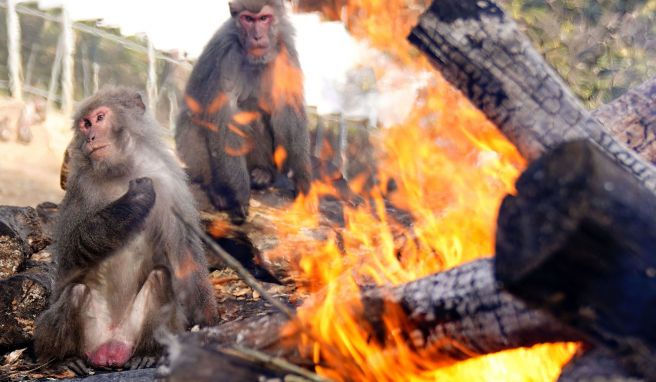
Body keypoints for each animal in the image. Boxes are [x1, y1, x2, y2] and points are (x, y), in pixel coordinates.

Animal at [35, 87, 218, 374]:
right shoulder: (80, 186)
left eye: (100, 118)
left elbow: (183, 254)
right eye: (85, 124)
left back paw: (148, 354)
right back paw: (63, 359)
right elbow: (70, 253)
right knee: (75, 292)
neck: (123, 169)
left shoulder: (169, 181)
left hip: (132, 335)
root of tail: (110, 349)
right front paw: (133, 201)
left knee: (160, 278)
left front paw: (208, 319)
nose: (90, 137)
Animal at [176, 0, 312, 224]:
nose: (256, 36)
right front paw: (239, 194)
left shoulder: (286, 49)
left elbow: (287, 106)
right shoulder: (227, 52)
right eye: (248, 19)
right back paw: (217, 189)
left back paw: (263, 173)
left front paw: (303, 181)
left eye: (264, 19)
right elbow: (226, 114)